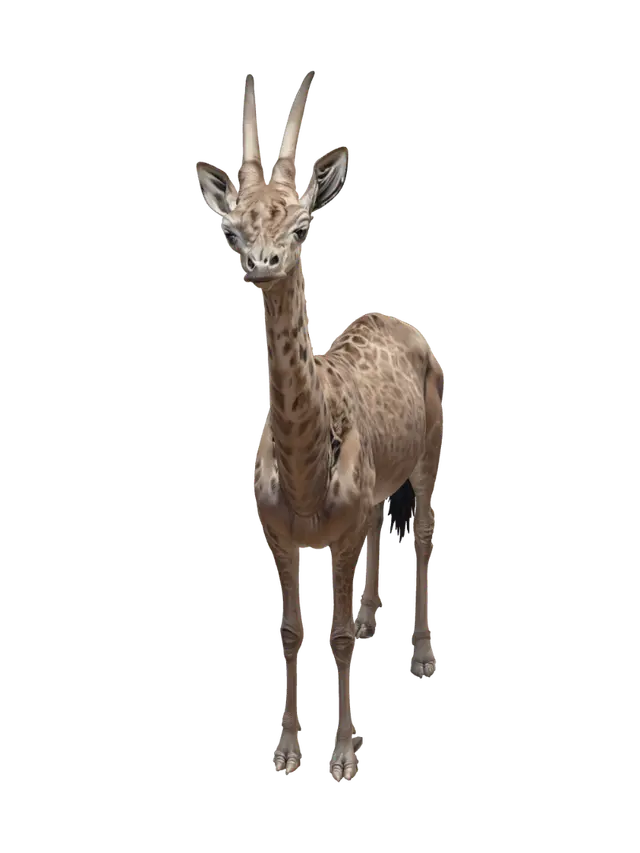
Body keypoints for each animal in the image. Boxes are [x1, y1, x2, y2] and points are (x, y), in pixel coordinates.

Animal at [195, 70, 445, 783]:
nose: (264, 262)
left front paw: (343, 760)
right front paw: (284, 752)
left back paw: (422, 657)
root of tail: (399, 320)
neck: (307, 478)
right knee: (383, 526)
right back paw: (371, 620)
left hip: (431, 450)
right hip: (378, 488)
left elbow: (331, 637)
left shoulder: (341, 529)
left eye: (303, 226)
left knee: (422, 530)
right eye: (233, 230)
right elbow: (289, 632)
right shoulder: (277, 533)